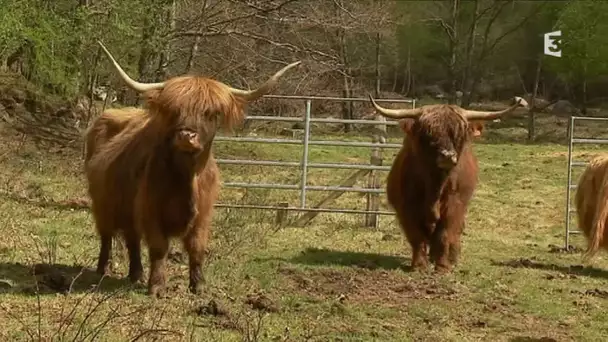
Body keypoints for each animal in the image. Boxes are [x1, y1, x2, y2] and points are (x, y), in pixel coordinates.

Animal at [83, 40, 302, 296]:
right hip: (103, 204)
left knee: (131, 238)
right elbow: (159, 248)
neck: (187, 175)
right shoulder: (150, 210)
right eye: (173, 111)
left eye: (211, 113)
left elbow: (197, 247)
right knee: (107, 236)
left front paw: (199, 285)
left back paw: (135, 274)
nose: (186, 135)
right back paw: (104, 268)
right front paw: (157, 286)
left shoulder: (203, 214)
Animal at [366, 95, 528, 274]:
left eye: (458, 134)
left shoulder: (454, 205)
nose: (448, 156)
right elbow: (416, 236)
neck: (435, 185)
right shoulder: (407, 207)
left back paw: (451, 258)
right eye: (428, 134)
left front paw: (443, 267)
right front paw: (419, 266)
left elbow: (445, 234)